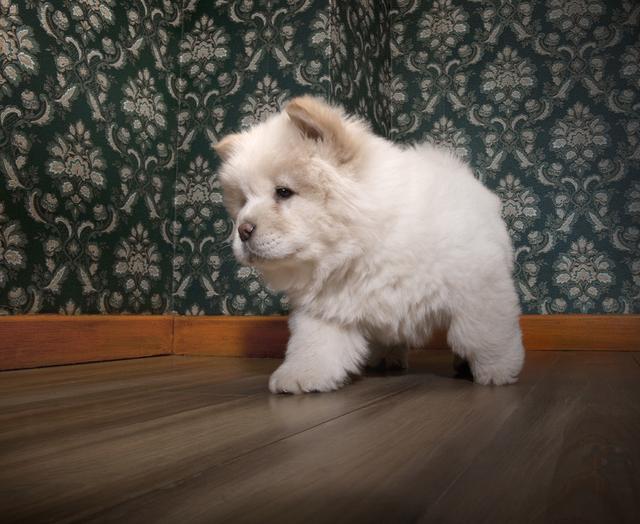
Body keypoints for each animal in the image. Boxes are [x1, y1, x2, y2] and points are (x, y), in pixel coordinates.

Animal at [215, 97, 524, 392]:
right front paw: (300, 376)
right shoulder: (327, 308)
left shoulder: (478, 287)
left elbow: (482, 334)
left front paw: (497, 371)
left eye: (283, 192)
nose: (243, 230)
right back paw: (387, 358)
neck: (363, 244)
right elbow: (314, 344)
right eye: (243, 201)